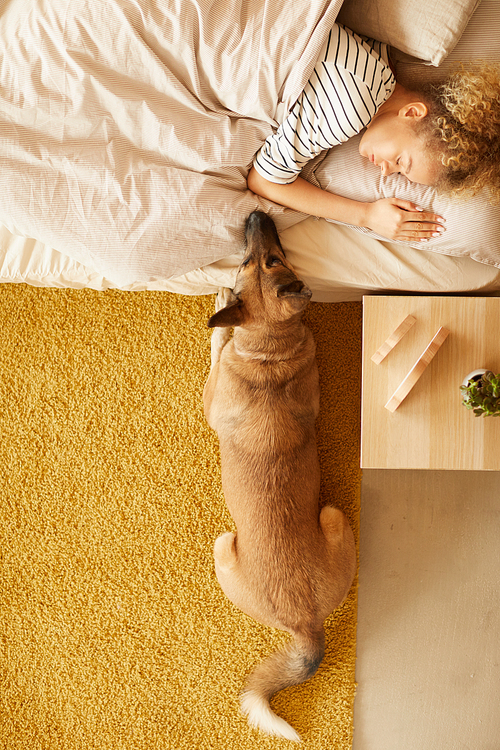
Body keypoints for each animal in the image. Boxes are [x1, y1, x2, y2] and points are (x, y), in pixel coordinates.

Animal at [203, 212, 356, 748]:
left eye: (265, 259)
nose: (255, 215)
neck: (268, 350)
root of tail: (305, 623)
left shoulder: (209, 396)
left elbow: (218, 343)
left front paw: (221, 309)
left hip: (226, 544)